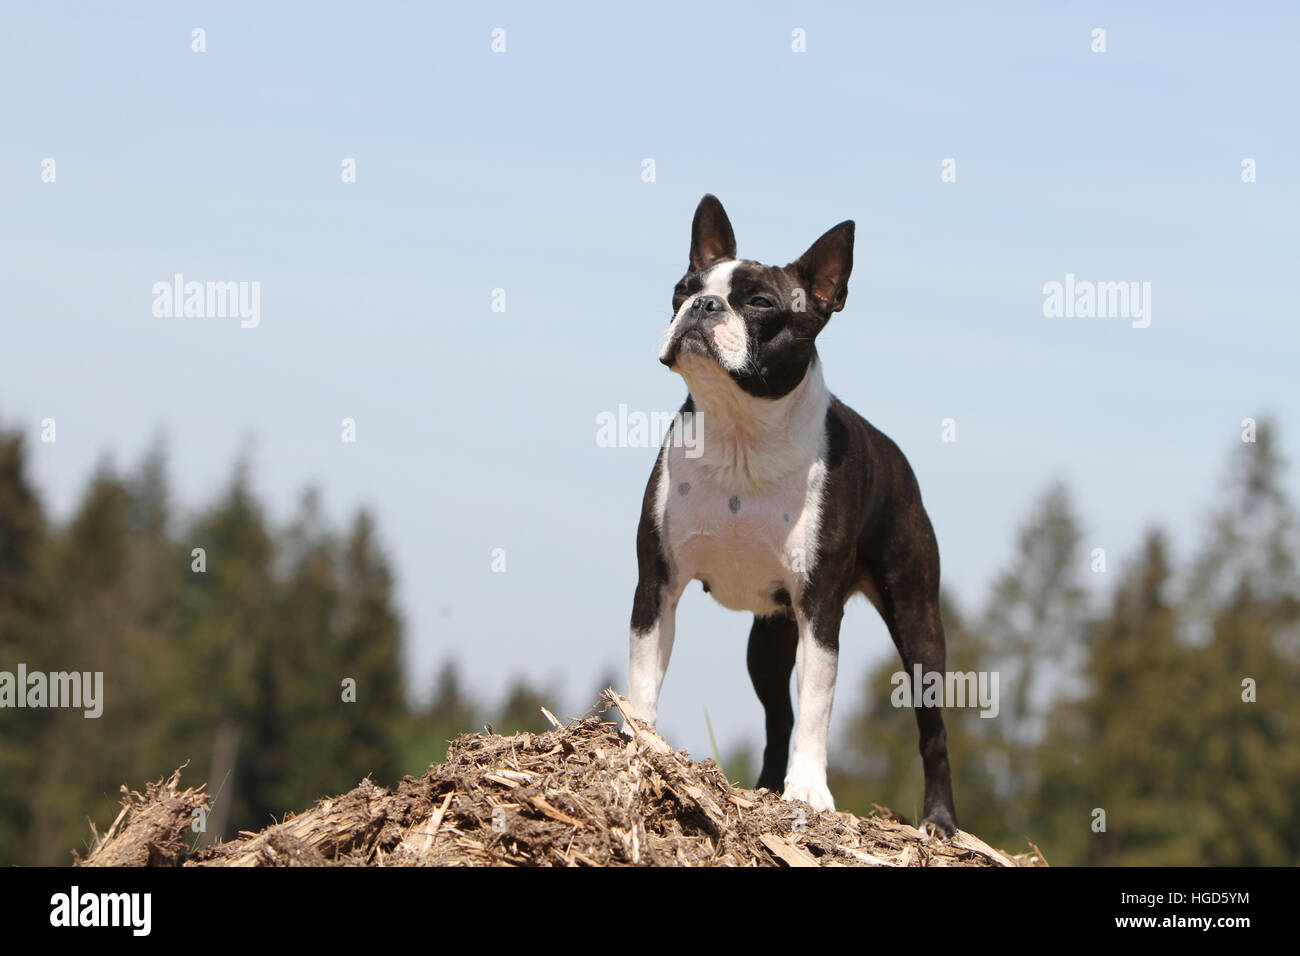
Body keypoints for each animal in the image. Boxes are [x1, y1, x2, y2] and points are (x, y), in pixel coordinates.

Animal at [624, 195, 961, 837]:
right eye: (682, 289)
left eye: (759, 304)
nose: (703, 306)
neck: (742, 434)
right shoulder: (658, 585)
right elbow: (645, 677)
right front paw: (636, 748)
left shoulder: (819, 612)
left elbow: (817, 711)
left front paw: (807, 793)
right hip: (769, 638)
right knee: (777, 714)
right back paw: (762, 787)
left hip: (918, 624)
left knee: (931, 730)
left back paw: (940, 822)